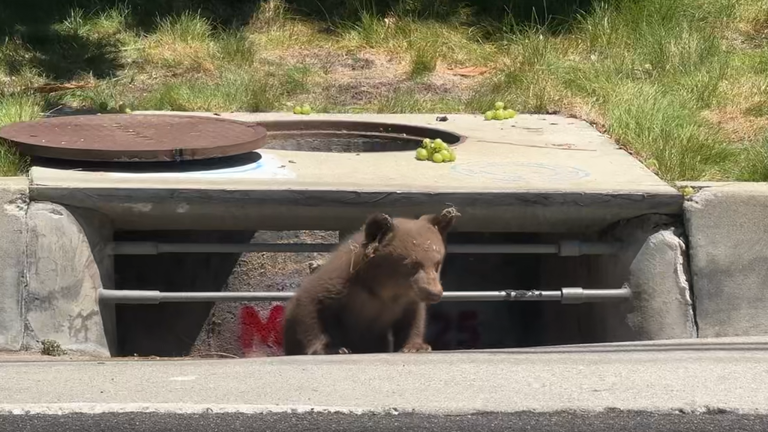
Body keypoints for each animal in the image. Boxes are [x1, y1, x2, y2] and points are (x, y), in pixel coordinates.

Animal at [282, 208, 459, 356]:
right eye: (412, 264)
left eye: (437, 264)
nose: (434, 293)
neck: (382, 288)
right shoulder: (341, 282)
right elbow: (310, 302)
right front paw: (332, 348)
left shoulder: (405, 300)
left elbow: (414, 317)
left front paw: (416, 346)